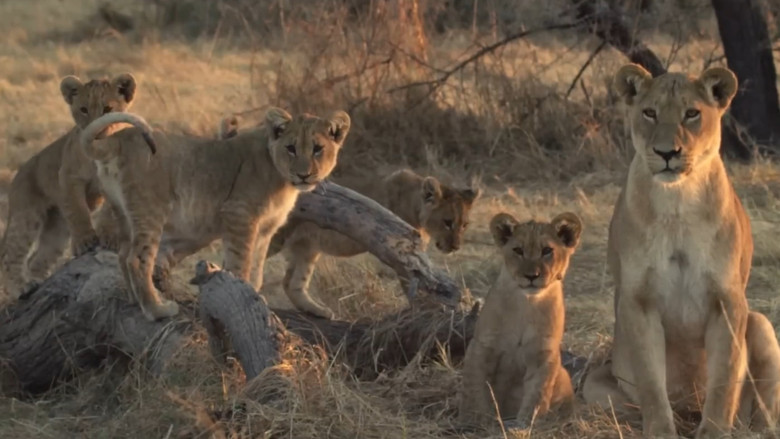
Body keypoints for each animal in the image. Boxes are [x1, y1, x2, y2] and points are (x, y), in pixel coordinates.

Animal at [0, 73, 136, 299]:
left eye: (108, 109)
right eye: (83, 109)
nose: (95, 133)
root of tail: (18, 173)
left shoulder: (118, 179)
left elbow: (109, 211)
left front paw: (110, 238)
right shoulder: (69, 177)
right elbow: (78, 210)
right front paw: (84, 242)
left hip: (58, 228)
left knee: (38, 259)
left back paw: (39, 283)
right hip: (27, 214)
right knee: (11, 256)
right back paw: (22, 288)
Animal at [79, 107, 351, 321]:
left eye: (318, 149)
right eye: (291, 148)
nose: (304, 175)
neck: (282, 179)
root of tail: (120, 137)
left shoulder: (265, 229)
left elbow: (257, 269)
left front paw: (255, 295)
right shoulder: (240, 214)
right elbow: (241, 263)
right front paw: (244, 301)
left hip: (124, 212)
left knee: (123, 255)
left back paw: (137, 302)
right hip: (151, 210)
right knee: (137, 259)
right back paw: (157, 310)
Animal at [457, 211, 581, 429]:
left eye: (547, 250)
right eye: (518, 250)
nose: (531, 276)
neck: (527, 303)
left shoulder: (544, 354)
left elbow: (537, 395)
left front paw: (525, 426)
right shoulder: (481, 346)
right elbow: (475, 387)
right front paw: (477, 420)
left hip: (564, 375)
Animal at [581, 64, 780, 438]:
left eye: (692, 114)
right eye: (649, 112)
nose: (666, 153)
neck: (677, 202)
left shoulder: (727, 300)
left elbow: (724, 378)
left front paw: (714, 430)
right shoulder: (638, 301)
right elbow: (651, 381)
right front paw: (661, 431)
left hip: (760, 323)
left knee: (765, 411)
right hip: (595, 386)